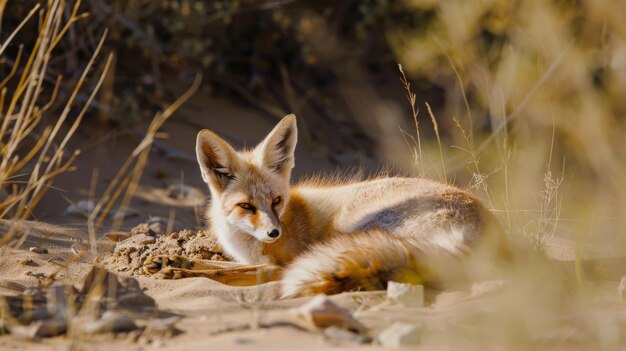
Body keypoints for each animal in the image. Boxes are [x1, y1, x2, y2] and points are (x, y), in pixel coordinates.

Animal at [195, 114, 508, 298]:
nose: (274, 233)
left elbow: (242, 270)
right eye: (246, 206)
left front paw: (187, 269)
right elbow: (224, 264)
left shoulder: (279, 258)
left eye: (276, 201)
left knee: (287, 273)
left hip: (357, 229)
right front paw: (189, 262)